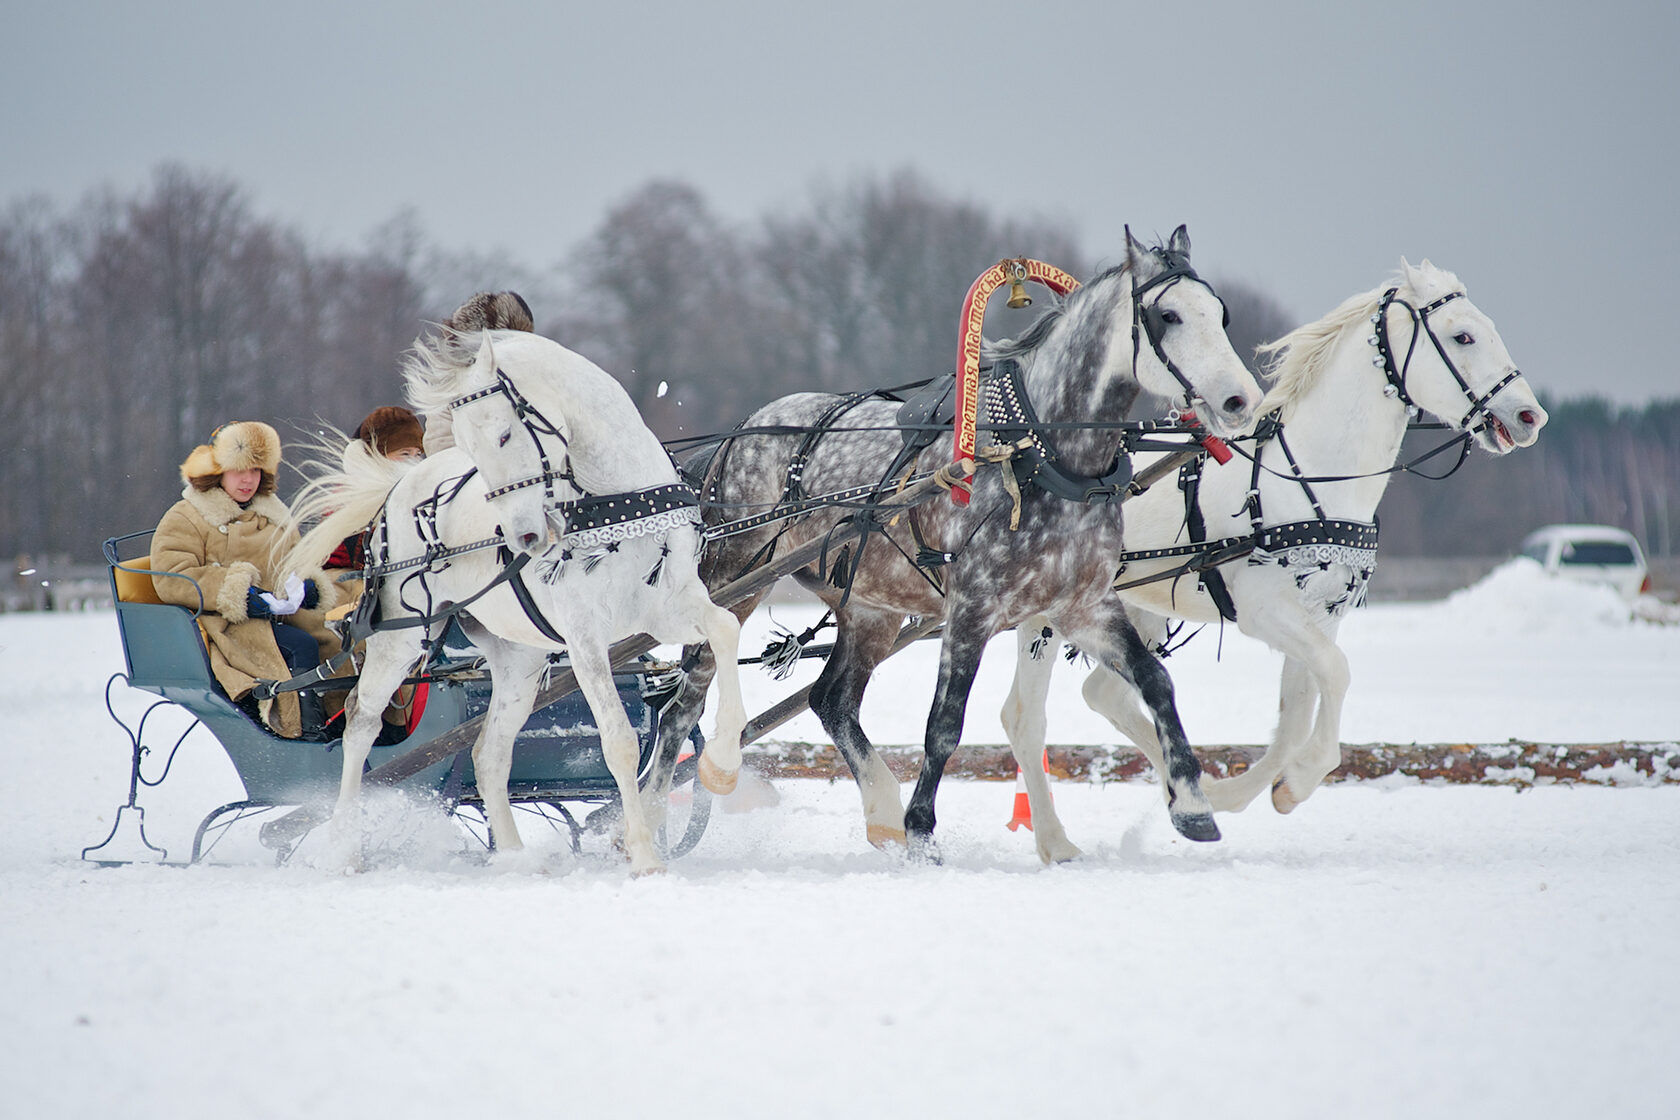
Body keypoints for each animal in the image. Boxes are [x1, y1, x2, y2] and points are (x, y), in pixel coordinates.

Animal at [994, 258, 1545, 866]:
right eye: (1463, 335)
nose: (1529, 415)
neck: (1311, 474)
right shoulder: (1264, 612)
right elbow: (1337, 673)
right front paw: (1295, 781)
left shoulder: (1319, 614)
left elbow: (1297, 714)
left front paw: (1256, 791)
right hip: (1046, 614)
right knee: (1023, 717)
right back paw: (1056, 840)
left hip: (1140, 607)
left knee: (1103, 694)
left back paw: (1189, 789)